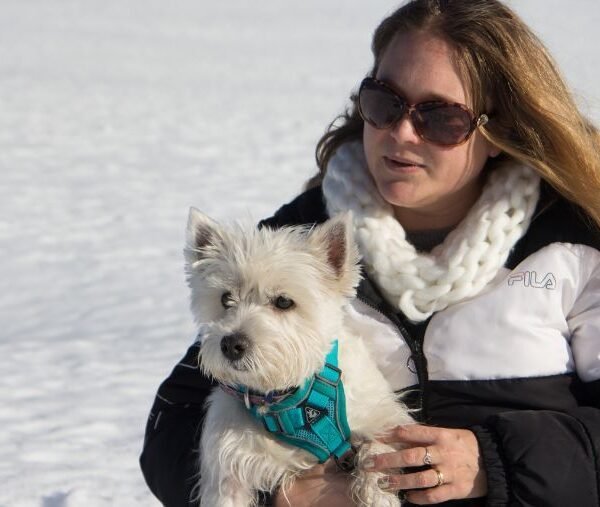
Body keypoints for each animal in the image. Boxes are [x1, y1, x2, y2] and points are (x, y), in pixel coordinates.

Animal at [186, 208, 412, 506]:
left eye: (283, 301)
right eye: (225, 299)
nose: (232, 344)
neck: (287, 398)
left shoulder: (383, 414)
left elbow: (380, 447)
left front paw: (377, 494)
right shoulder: (228, 467)